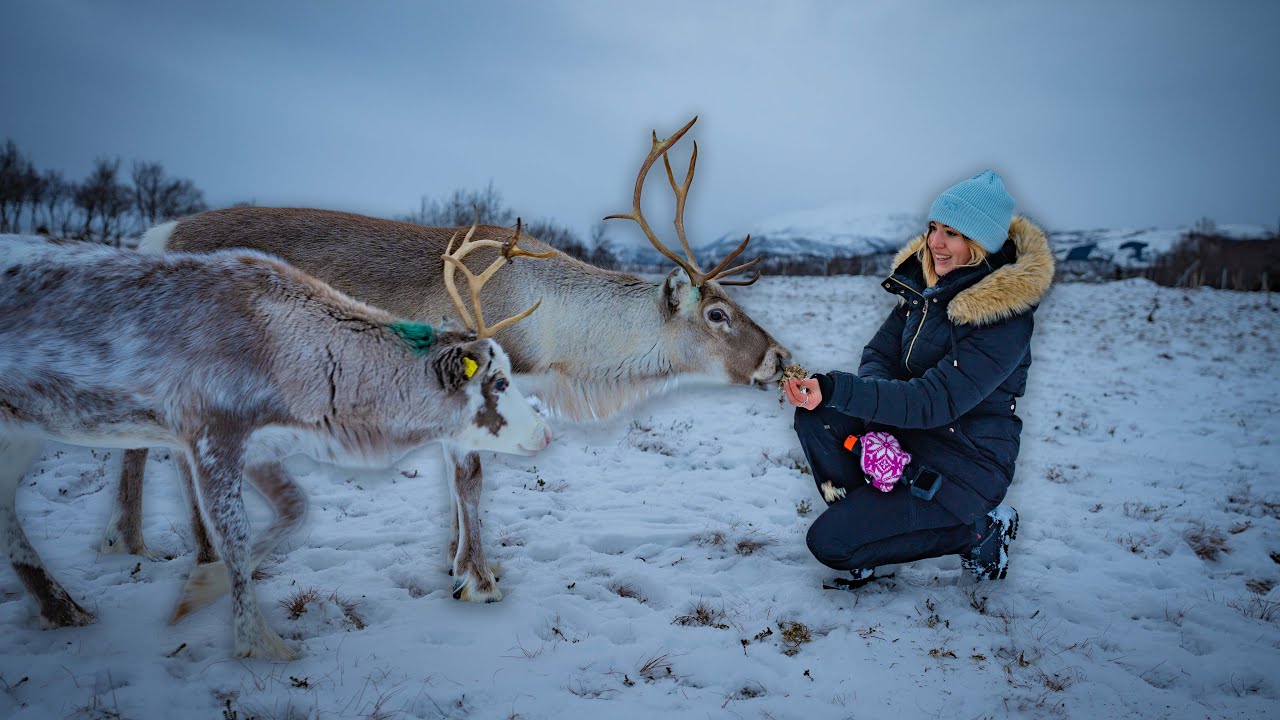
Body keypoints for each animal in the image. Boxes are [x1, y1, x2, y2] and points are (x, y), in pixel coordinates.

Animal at [0, 230, 551, 660]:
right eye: (499, 381)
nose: (546, 432)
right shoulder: (212, 433)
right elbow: (238, 535)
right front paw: (260, 644)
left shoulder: (263, 444)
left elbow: (294, 509)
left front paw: (201, 589)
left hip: (20, 428)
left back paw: (62, 609)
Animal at [103, 117, 792, 603]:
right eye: (717, 314)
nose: (781, 358)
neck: (557, 335)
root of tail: (155, 236)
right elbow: (472, 479)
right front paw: (478, 578)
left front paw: (456, 563)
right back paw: (175, 549)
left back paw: (141, 541)